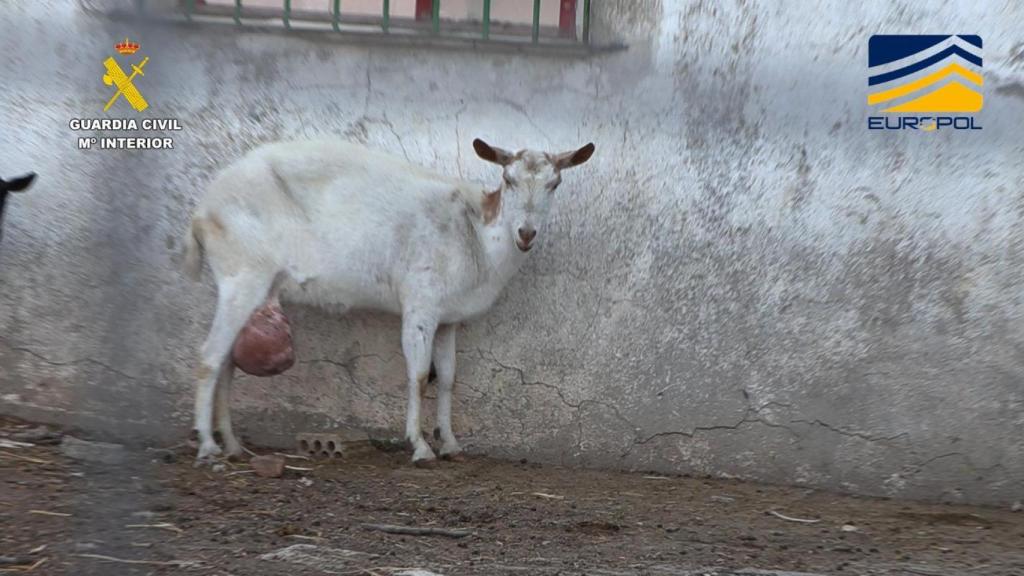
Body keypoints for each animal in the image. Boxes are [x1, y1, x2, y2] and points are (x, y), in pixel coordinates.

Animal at [184, 138, 595, 465]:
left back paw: (233, 445)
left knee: (227, 362)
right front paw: (420, 447)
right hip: (241, 274)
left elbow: (448, 378)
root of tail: (202, 210)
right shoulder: (420, 304)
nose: (526, 233)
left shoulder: (449, 318)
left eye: (555, 183)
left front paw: (450, 444)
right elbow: (419, 375)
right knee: (209, 357)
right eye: (508, 180)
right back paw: (208, 448)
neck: (475, 231)